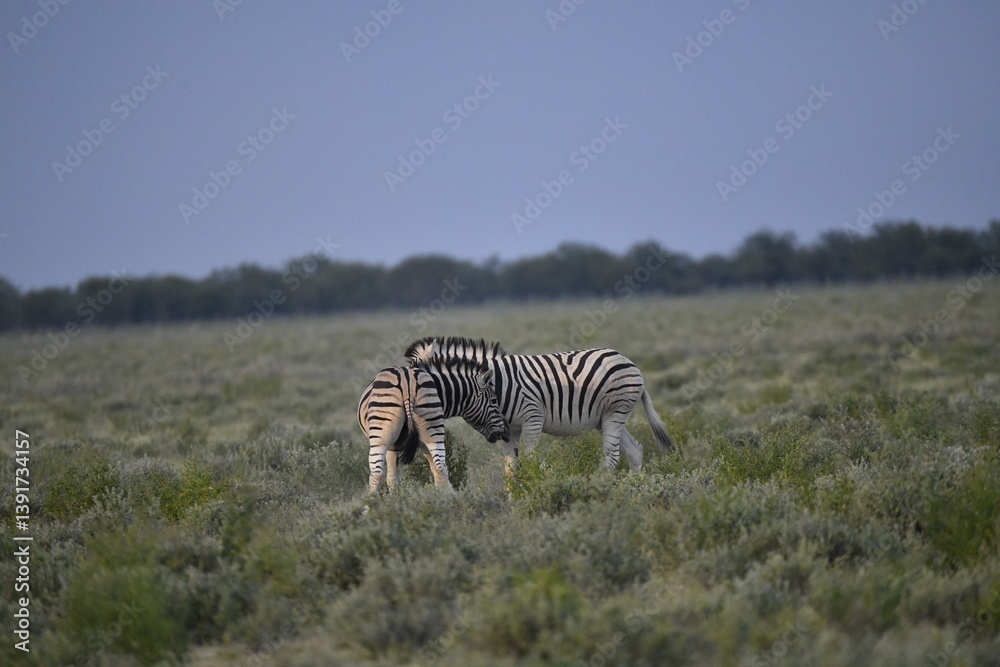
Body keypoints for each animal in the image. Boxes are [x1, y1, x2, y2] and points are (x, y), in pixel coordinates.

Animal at [357, 350, 510, 493]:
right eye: (494, 400)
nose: (506, 432)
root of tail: (407, 382)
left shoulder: (396, 446)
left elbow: (393, 477)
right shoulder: (414, 444)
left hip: (382, 436)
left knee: (377, 472)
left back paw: (372, 502)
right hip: (430, 427)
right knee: (440, 465)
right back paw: (451, 497)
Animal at [404, 336, 674, 475]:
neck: (498, 383)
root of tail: (628, 360)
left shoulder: (532, 419)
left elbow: (530, 458)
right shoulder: (509, 429)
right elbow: (511, 467)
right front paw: (514, 501)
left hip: (615, 410)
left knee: (612, 455)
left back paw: (600, 490)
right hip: (606, 418)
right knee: (634, 450)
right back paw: (632, 490)